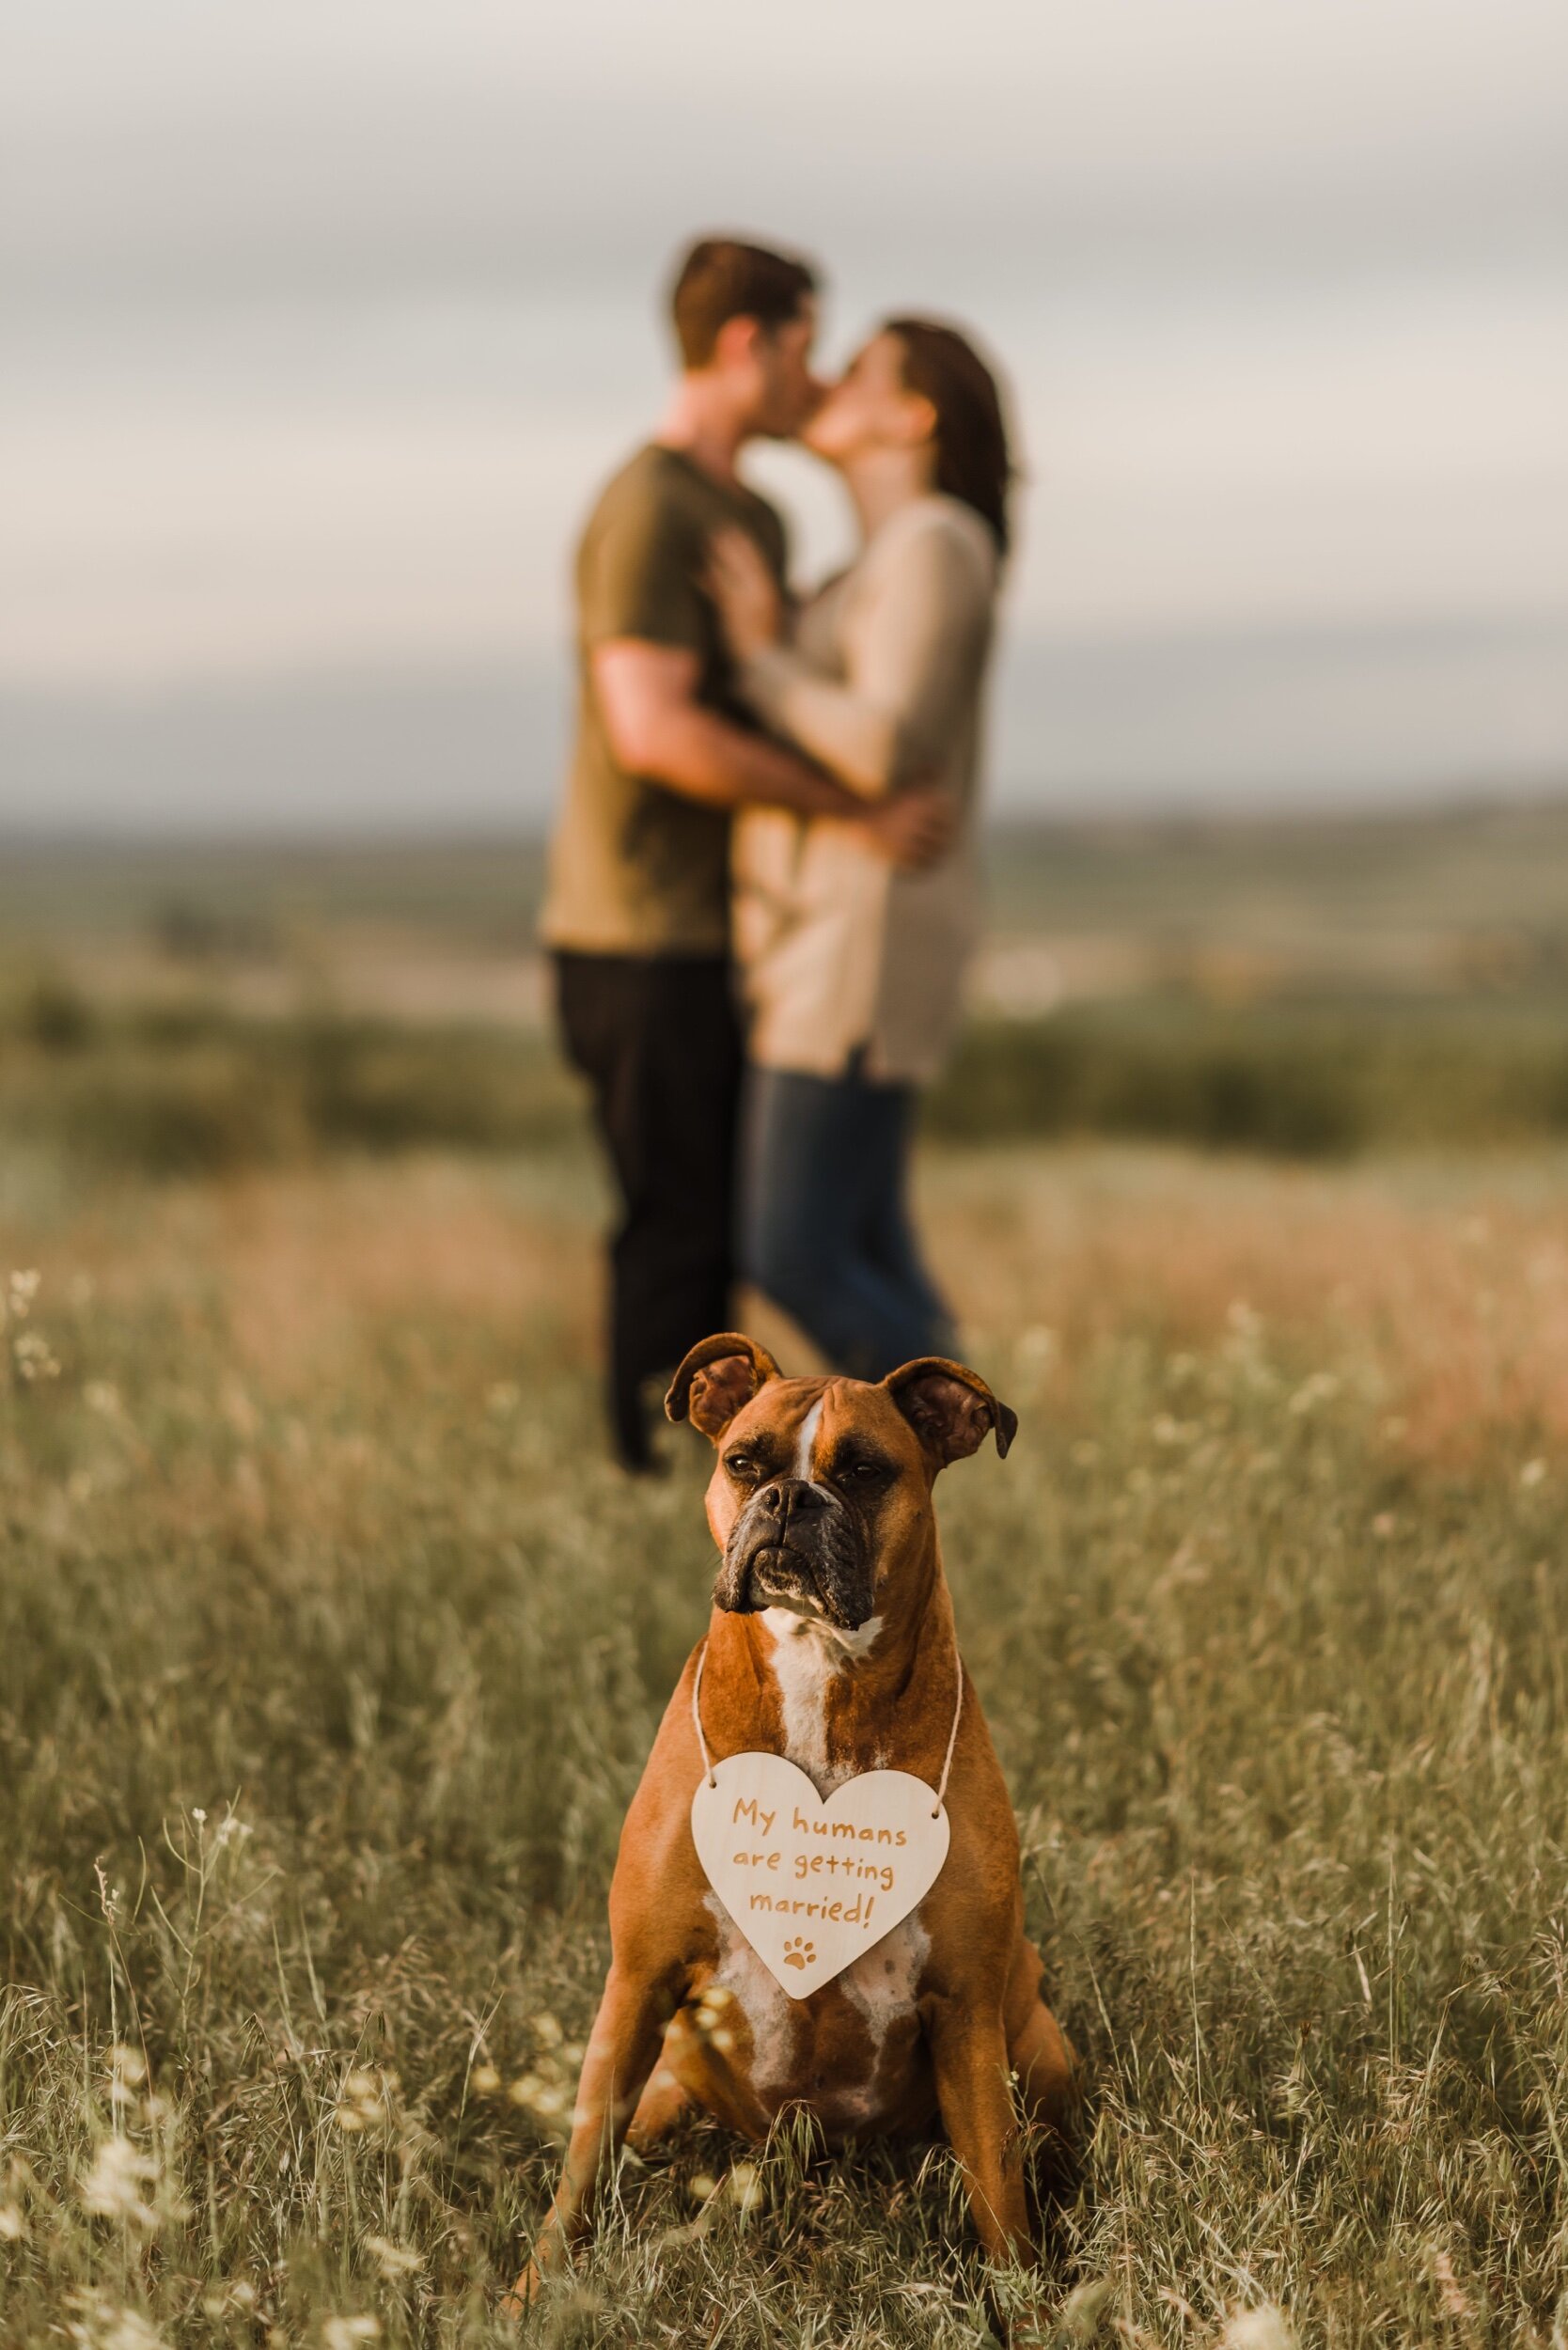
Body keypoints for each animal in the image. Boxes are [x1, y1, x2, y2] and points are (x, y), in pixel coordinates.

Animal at [514, 1335, 1081, 2303]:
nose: (789, 1499)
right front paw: (532, 2294)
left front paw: (1027, 2309)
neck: (820, 1671)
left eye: (863, 1471)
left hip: (1036, 2048)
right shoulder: (638, 1984)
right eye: (746, 1463)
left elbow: (1001, 2201)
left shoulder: (966, 2013)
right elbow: (583, 2167)